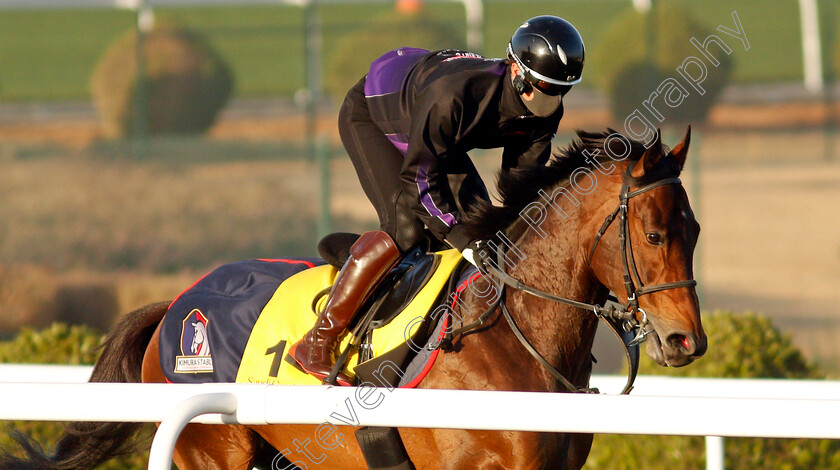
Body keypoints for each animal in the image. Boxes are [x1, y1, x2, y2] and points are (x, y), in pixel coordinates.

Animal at [3, 126, 704, 468]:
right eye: (653, 233)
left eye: (694, 231)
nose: (686, 341)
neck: (514, 337)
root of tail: (174, 306)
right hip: (211, 451)